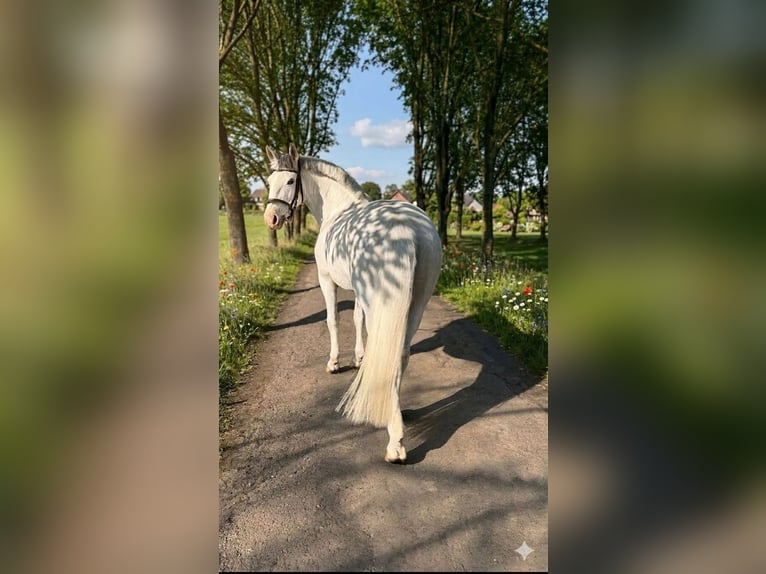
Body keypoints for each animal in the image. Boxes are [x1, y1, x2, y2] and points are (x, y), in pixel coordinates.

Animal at [263, 143, 442, 463]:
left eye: (291, 181)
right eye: (269, 181)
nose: (271, 218)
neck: (339, 208)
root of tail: (406, 229)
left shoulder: (326, 280)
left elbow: (333, 319)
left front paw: (334, 362)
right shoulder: (359, 292)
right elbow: (356, 320)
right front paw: (359, 358)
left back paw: (394, 442)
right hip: (417, 304)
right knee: (401, 353)